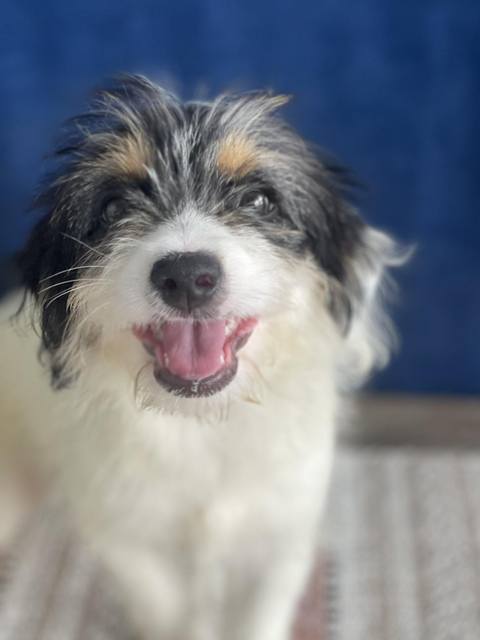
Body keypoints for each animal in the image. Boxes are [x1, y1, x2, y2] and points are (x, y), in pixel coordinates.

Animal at [0, 74, 403, 640]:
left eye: (259, 199)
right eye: (113, 207)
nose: (187, 276)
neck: (204, 425)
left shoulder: (282, 537)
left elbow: (258, 616)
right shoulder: (125, 538)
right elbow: (167, 611)